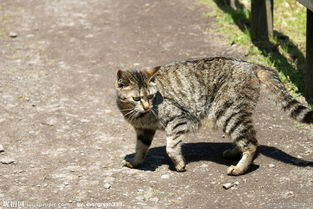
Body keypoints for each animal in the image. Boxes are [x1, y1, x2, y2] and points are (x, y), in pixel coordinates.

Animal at [115, 56, 312, 176]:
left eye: (150, 96)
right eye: (136, 98)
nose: (147, 106)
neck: (140, 115)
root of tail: (250, 64)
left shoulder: (178, 119)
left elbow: (171, 147)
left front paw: (179, 164)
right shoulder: (143, 131)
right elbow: (140, 148)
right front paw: (135, 163)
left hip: (228, 112)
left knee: (251, 143)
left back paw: (239, 168)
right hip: (231, 115)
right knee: (245, 137)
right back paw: (234, 151)